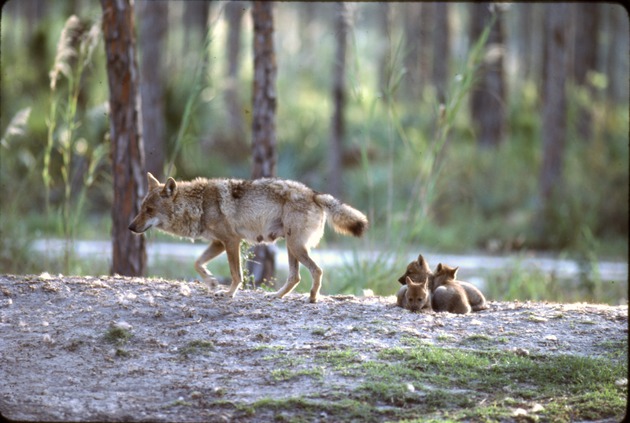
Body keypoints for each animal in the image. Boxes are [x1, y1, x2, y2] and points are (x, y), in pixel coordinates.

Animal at [128, 174, 368, 304]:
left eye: (149, 210)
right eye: (141, 208)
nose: (130, 227)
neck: (200, 204)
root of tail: (314, 194)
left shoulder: (231, 241)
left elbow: (236, 274)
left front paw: (229, 293)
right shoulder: (218, 243)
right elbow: (197, 263)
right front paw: (212, 282)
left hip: (295, 246)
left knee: (316, 271)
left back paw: (312, 298)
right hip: (291, 247)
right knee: (295, 277)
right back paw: (276, 296)